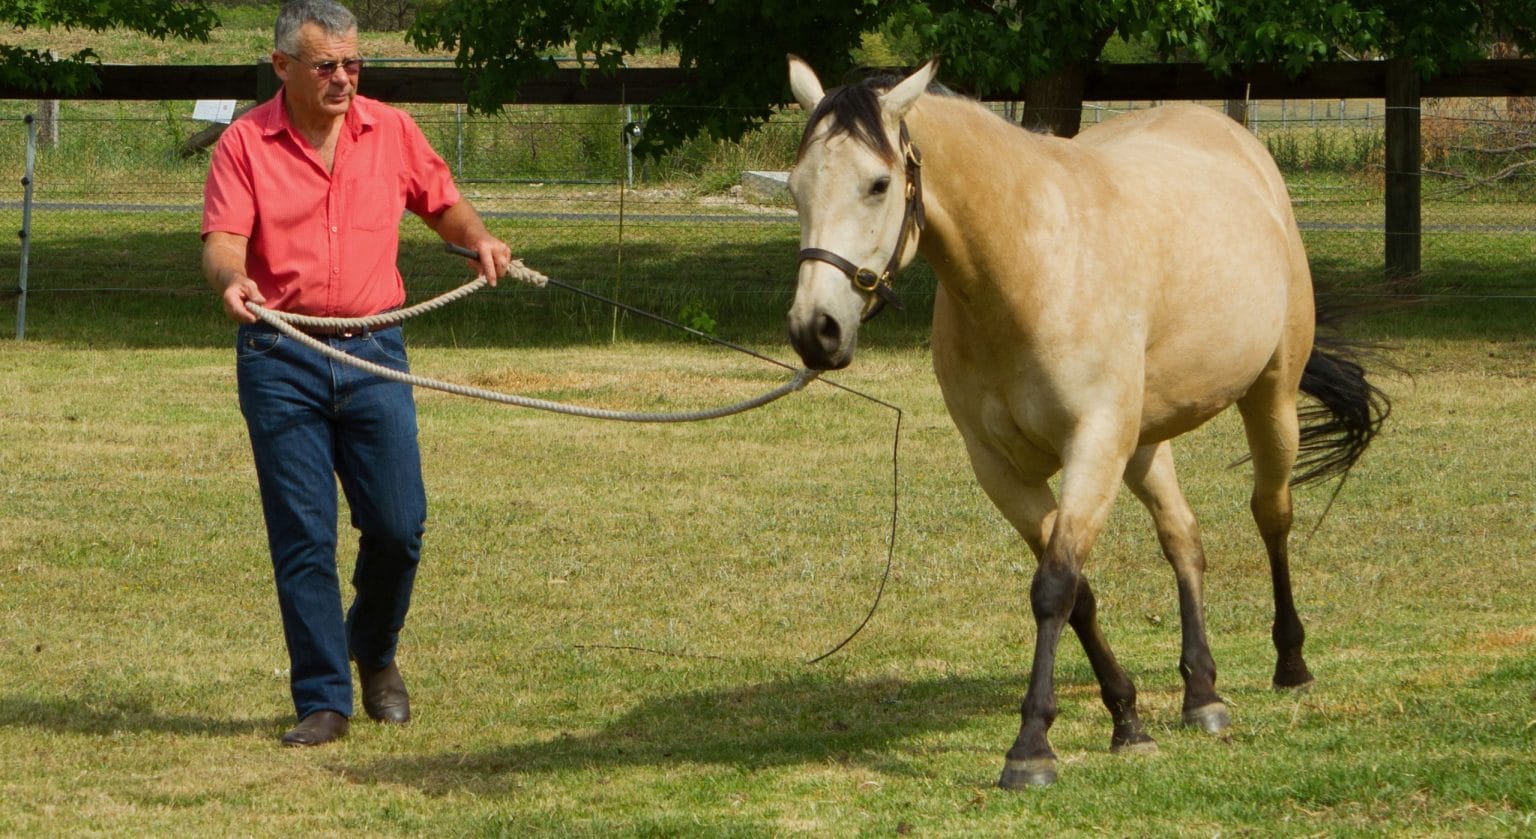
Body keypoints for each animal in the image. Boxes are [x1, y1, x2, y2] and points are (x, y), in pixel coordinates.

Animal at [783, 56, 1389, 789]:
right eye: (796, 186)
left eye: (877, 184)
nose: (815, 330)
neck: (1025, 269)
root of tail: (1236, 142)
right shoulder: (1002, 469)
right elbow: (1079, 593)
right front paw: (1127, 719)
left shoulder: (1092, 445)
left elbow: (1053, 587)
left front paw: (1031, 748)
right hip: (1144, 442)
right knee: (1183, 537)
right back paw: (1202, 693)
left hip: (1267, 399)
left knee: (1272, 514)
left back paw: (1290, 662)